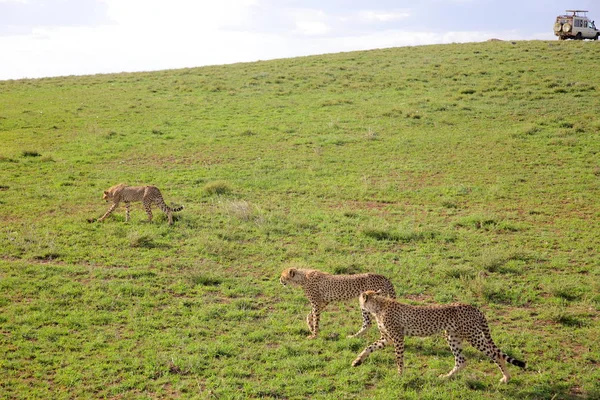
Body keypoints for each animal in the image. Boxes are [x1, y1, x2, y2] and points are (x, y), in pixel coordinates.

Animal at [352, 290, 524, 382]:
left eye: (361, 297)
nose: (359, 300)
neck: (378, 306)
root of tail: (472, 306)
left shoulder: (398, 337)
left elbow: (399, 358)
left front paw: (400, 374)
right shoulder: (386, 338)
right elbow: (369, 347)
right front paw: (357, 361)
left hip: (473, 336)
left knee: (495, 354)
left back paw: (506, 378)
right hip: (452, 336)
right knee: (462, 360)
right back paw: (446, 377)